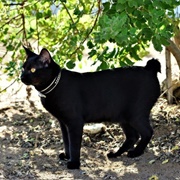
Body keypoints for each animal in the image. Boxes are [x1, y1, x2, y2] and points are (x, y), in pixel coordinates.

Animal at [20, 47, 160, 169]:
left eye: (33, 70)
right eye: (23, 68)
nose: (21, 77)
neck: (54, 87)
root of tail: (149, 69)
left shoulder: (74, 122)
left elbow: (74, 144)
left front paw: (74, 163)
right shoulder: (63, 123)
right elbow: (66, 142)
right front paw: (67, 156)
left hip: (135, 115)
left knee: (147, 132)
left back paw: (136, 152)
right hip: (123, 117)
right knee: (132, 137)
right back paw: (115, 153)